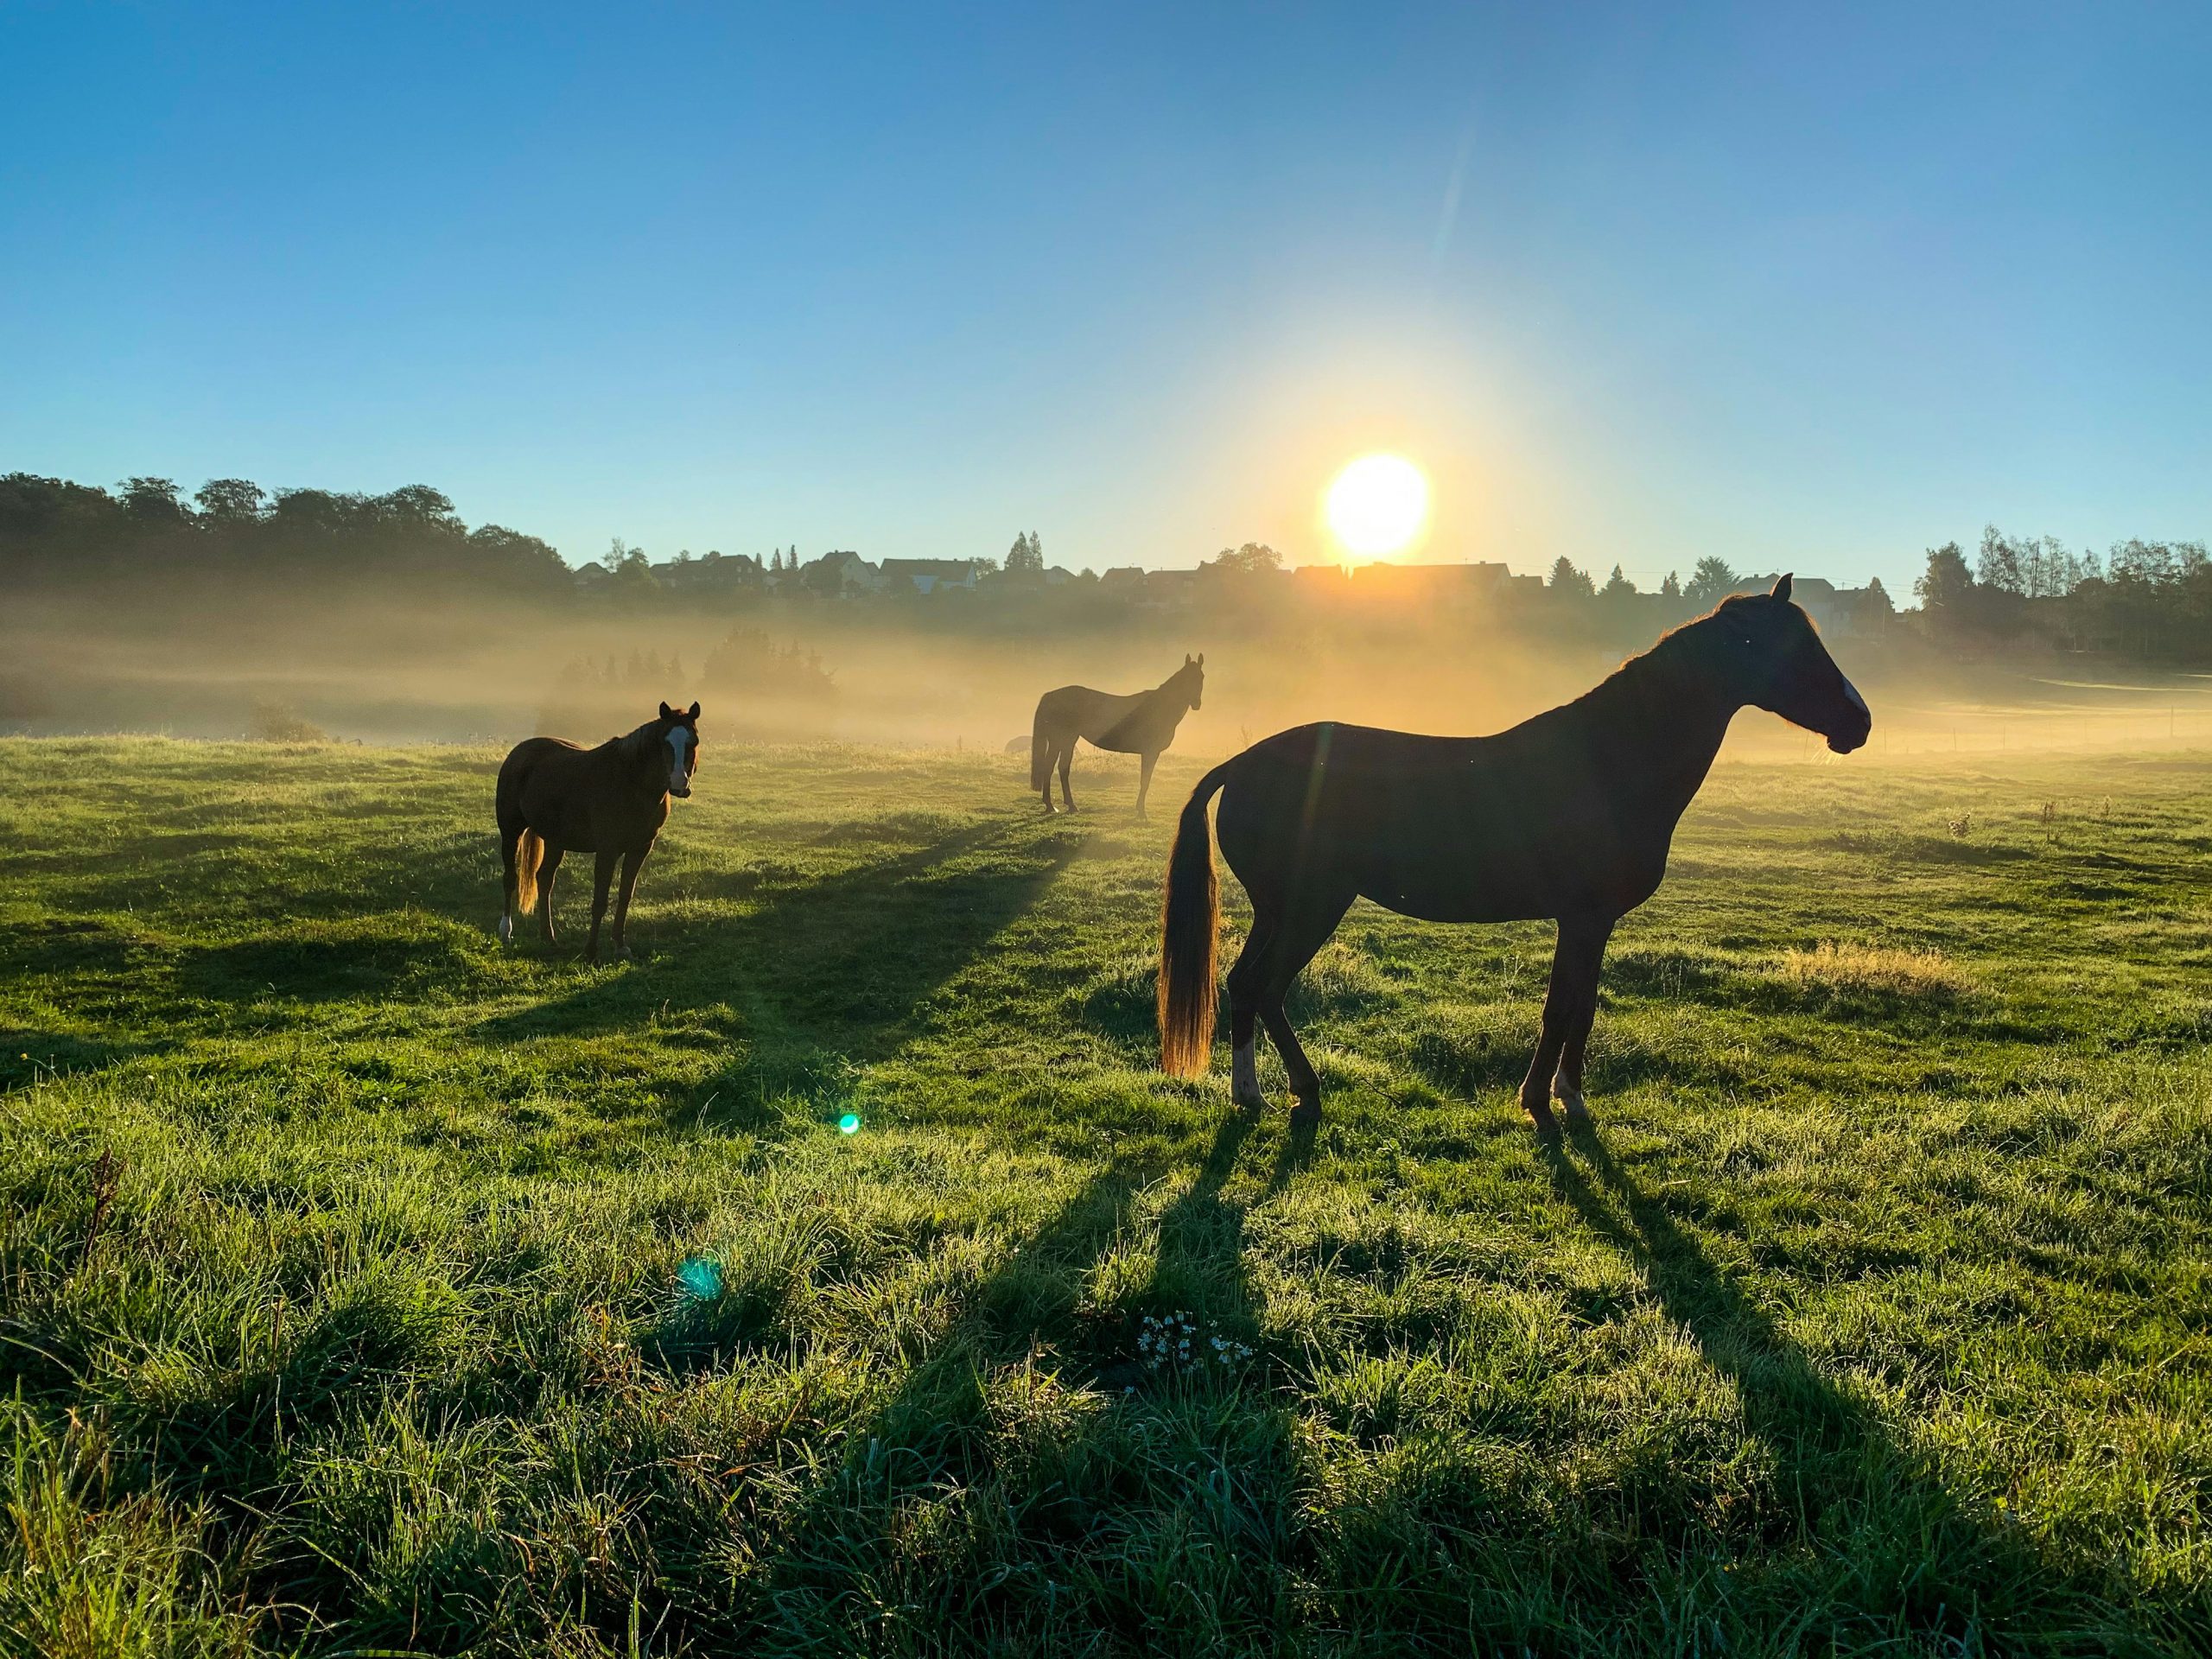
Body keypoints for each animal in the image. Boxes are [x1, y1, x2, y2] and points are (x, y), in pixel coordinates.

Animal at [496, 701, 700, 963]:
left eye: (693, 742)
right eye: (665, 742)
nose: (679, 784)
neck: (632, 784)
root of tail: (518, 753)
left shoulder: (640, 848)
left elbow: (625, 895)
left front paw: (621, 946)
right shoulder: (607, 850)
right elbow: (600, 900)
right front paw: (590, 951)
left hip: (555, 841)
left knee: (544, 880)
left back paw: (548, 937)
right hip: (511, 831)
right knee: (510, 878)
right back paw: (506, 932)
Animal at [1029, 654, 1204, 817]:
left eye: (1201, 677)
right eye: (1186, 678)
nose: (1196, 704)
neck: (1158, 707)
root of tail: (1050, 696)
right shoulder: (1150, 752)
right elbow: (1145, 780)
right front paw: (1141, 811)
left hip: (1066, 740)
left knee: (1059, 767)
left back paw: (1065, 805)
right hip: (1061, 739)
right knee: (1052, 768)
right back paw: (1055, 805)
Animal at [1156, 576, 1870, 1136]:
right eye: (1797, 648)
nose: (1859, 723)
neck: (1609, 759)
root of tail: (1243, 763)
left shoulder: (1593, 924)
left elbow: (1581, 1006)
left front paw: (1567, 1095)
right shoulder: (1582, 918)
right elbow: (1562, 1009)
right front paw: (1546, 1101)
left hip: (1282, 910)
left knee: (1246, 985)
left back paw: (1260, 1091)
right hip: (1310, 907)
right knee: (1264, 986)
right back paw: (1290, 1091)